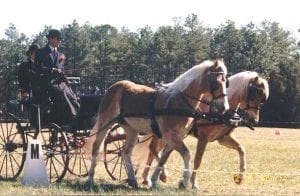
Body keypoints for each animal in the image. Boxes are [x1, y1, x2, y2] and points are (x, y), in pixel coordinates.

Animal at [84, 59, 230, 188]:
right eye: (216, 83)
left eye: (226, 82)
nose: (224, 107)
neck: (179, 101)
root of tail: (115, 86)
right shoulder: (170, 136)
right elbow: (186, 154)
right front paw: (183, 181)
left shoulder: (175, 137)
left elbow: (163, 158)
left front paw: (156, 179)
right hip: (105, 123)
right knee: (96, 147)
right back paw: (90, 178)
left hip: (131, 129)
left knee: (125, 152)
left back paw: (132, 179)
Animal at [141, 70, 270, 188]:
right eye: (253, 95)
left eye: (262, 99)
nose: (254, 120)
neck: (218, 111)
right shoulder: (203, 137)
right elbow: (198, 160)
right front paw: (193, 183)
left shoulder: (223, 138)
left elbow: (241, 149)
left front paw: (239, 177)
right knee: (154, 149)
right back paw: (161, 175)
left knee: (154, 151)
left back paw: (146, 178)